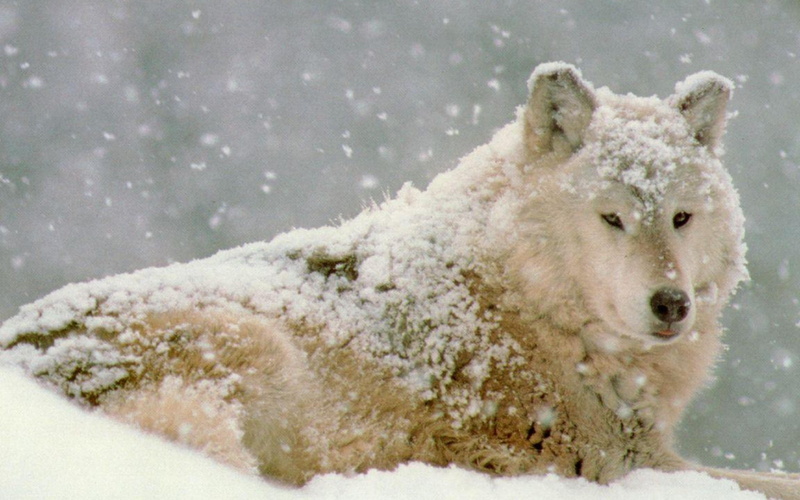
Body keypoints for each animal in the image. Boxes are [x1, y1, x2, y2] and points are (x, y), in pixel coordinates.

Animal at [1, 62, 798, 498]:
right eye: (612, 219)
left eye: (682, 217)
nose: (671, 304)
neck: (528, 299)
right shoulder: (616, 462)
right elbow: (765, 480)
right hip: (248, 343)